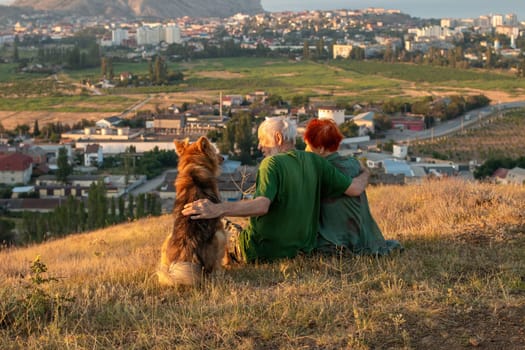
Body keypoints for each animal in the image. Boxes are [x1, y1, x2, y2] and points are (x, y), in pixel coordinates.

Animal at [158, 135, 227, 286]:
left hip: (167, 239)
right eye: (214, 150)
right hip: (219, 236)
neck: (193, 167)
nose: (223, 158)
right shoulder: (219, 223)